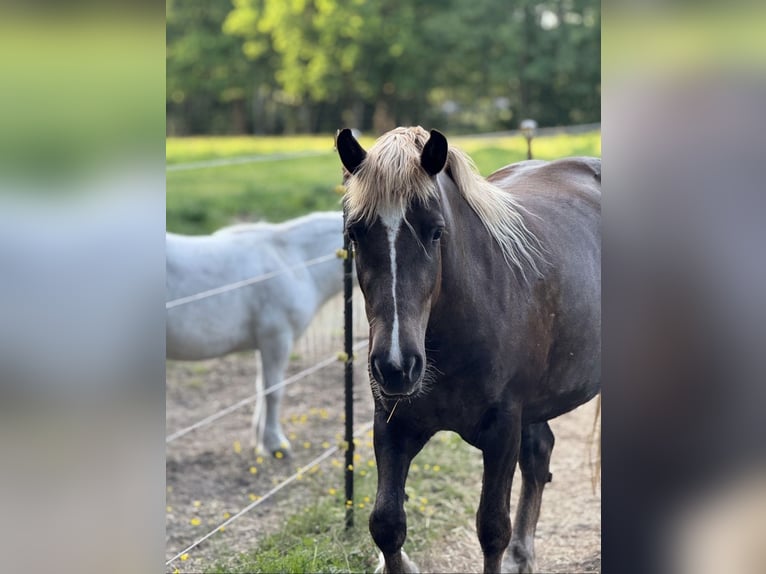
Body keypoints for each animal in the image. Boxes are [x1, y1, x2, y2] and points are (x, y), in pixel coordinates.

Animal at [166, 211, 345, 456]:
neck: (296, 261)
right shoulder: (276, 339)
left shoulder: (264, 343)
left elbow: (261, 388)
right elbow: (273, 391)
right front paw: (276, 444)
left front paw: (261, 440)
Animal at [336, 126, 600, 573]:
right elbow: (386, 525)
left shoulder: (503, 428)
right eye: (355, 231)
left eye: (435, 231)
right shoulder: (392, 423)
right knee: (539, 455)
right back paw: (522, 557)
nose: (396, 366)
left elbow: (492, 529)